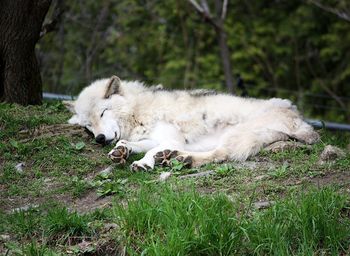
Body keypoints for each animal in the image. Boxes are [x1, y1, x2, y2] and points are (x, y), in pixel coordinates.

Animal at [64, 76, 318, 172]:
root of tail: (300, 120)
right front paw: (121, 152)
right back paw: (174, 157)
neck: (139, 110)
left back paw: (182, 159)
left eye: (103, 113)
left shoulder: (172, 137)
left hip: (237, 134)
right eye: (88, 126)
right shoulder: (153, 138)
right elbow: (129, 144)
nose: (99, 139)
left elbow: (149, 151)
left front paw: (145, 163)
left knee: (221, 155)